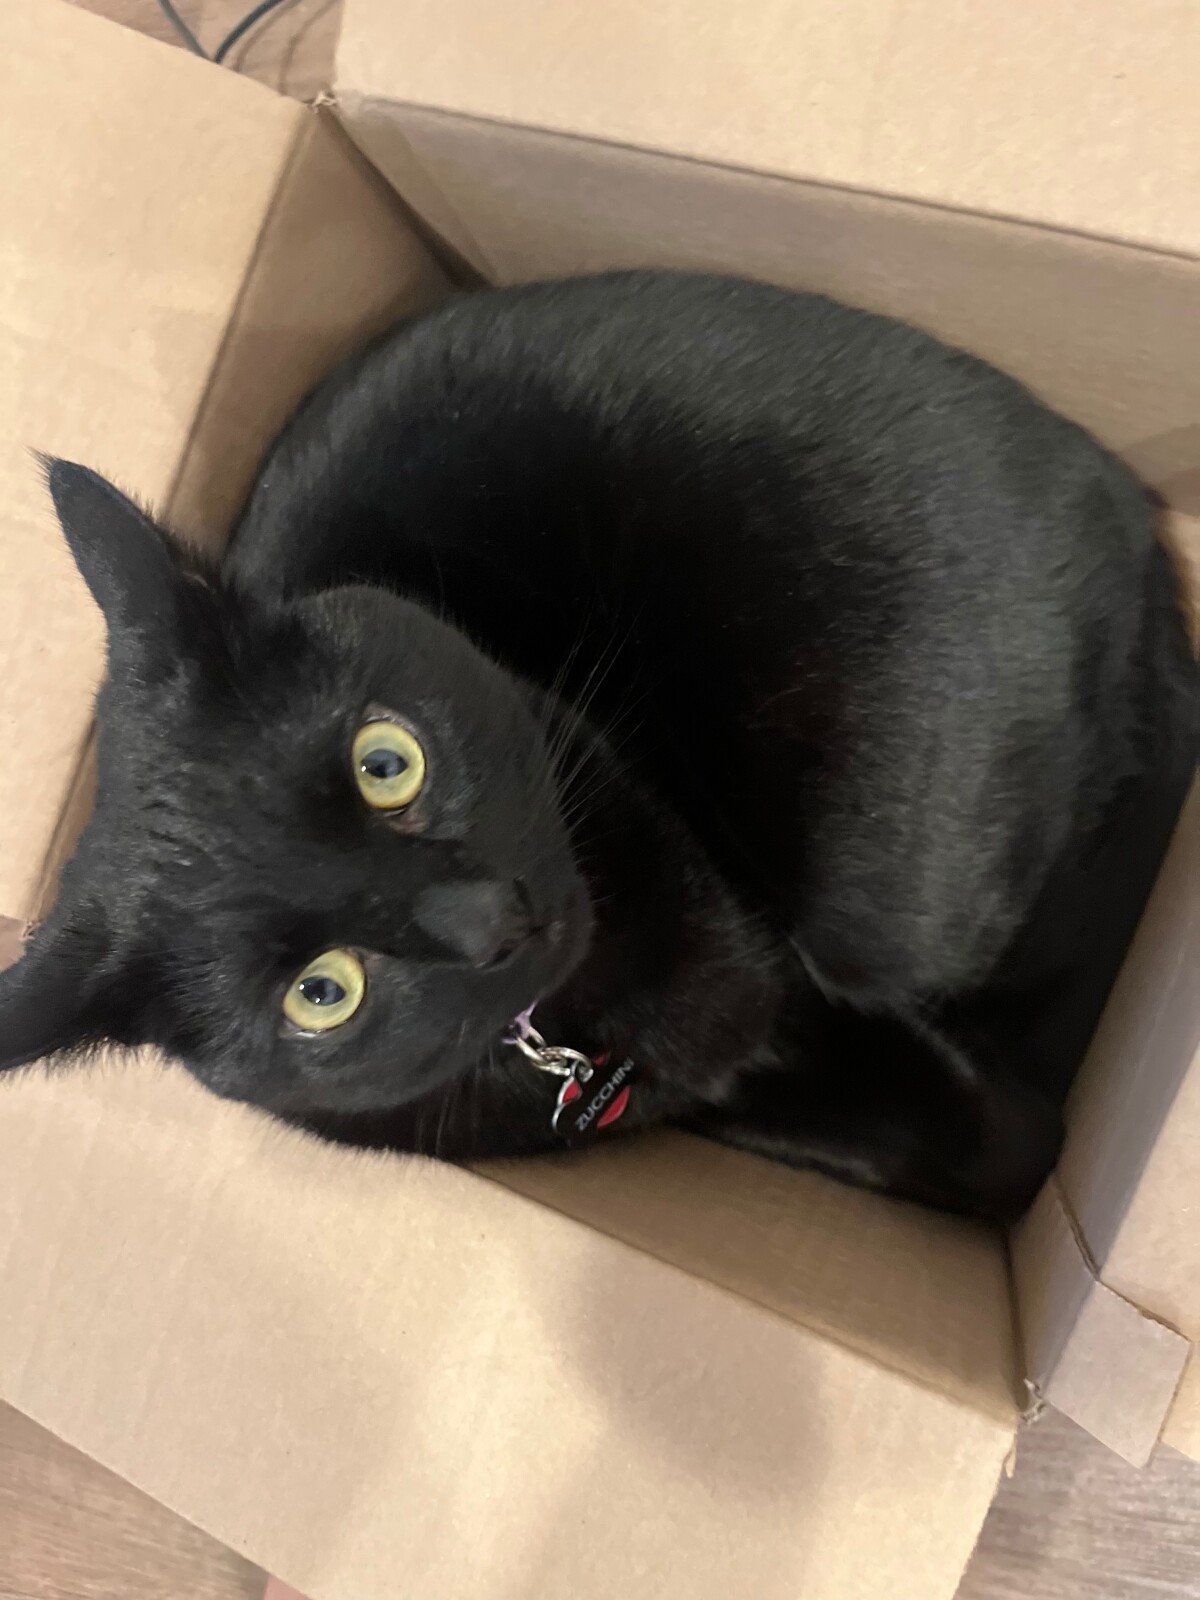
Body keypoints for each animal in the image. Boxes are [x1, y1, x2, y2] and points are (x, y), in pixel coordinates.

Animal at [1, 272, 1194, 1222]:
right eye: (319, 993)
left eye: (385, 762)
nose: (485, 917)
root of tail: (1133, 533)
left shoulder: (780, 981)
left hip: (891, 901)